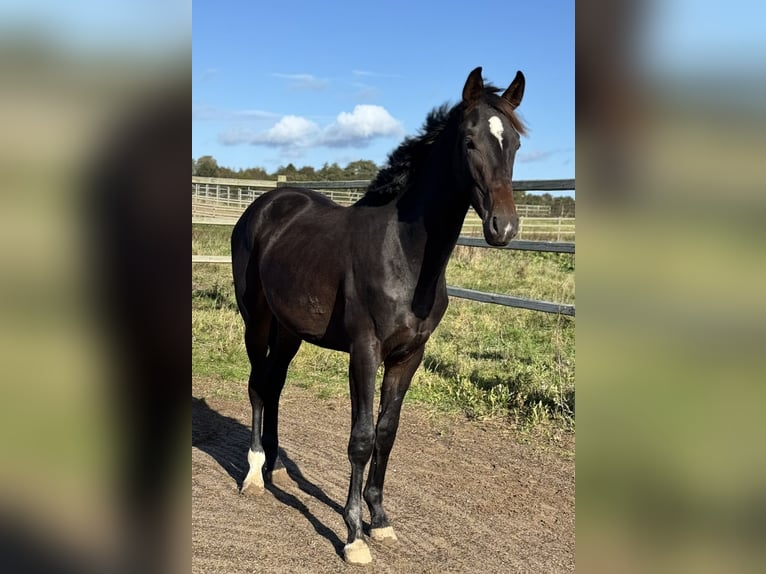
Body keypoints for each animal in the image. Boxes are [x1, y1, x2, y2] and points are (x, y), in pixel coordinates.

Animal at [231, 67, 524, 568]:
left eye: (517, 144)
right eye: (469, 141)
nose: (502, 227)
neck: (404, 254)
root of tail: (264, 206)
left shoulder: (409, 355)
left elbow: (386, 433)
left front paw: (380, 520)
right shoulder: (365, 351)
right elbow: (362, 438)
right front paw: (353, 536)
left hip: (290, 332)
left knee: (273, 386)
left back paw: (274, 466)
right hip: (258, 322)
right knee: (256, 386)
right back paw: (253, 474)